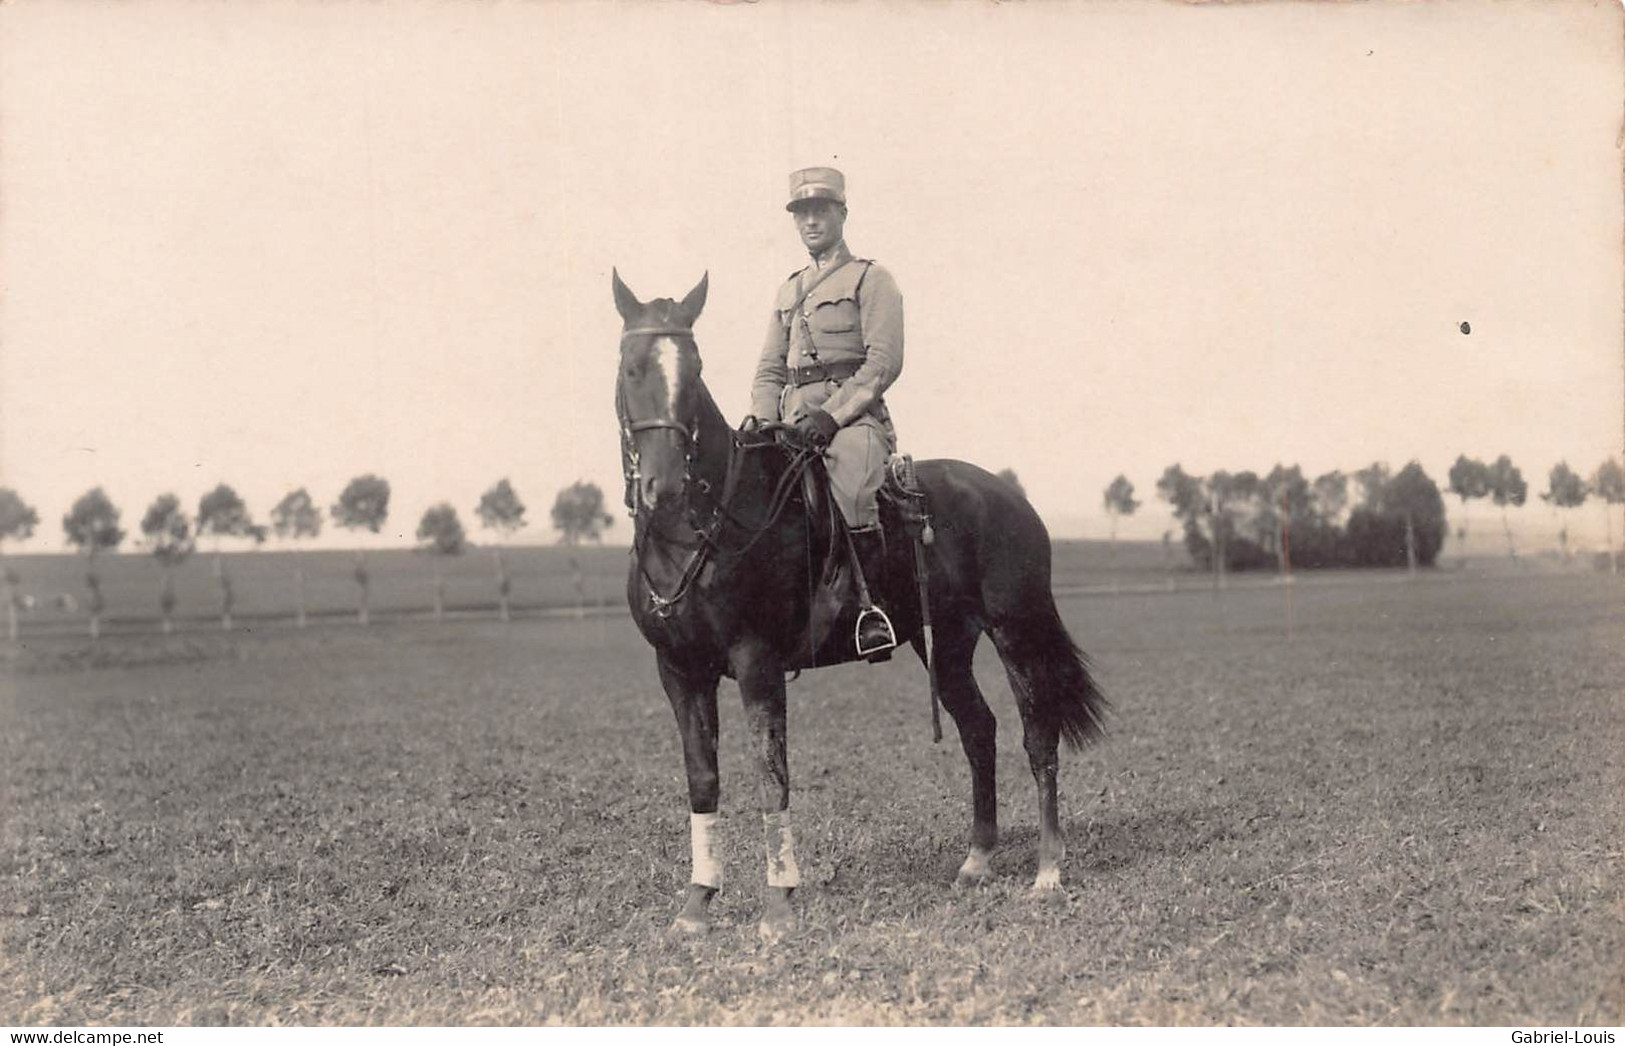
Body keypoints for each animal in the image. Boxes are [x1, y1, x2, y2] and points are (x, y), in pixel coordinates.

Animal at [611, 269, 1105, 942]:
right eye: (632, 367)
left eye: (695, 369)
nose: (662, 488)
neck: (702, 528)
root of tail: (1011, 497)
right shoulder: (680, 673)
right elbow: (703, 781)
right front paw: (696, 905)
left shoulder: (757, 663)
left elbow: (772, 777)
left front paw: (778, 906)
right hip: (945, 642)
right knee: (979, 730)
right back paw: (976, 861)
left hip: (1016, 631)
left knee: (1038, 735)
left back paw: (1048, 871)